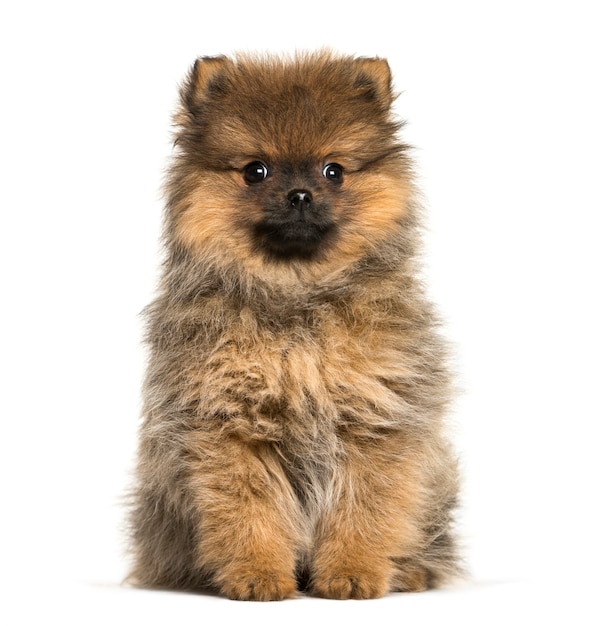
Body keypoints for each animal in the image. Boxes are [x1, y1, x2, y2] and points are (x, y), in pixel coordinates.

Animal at [131, 51, 462, 596]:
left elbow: (366, 508)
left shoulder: (373, 421)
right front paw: (258, 573)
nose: (301, 194)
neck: (299, 301)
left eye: (334, 171)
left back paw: (410, 572)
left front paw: (352, 572)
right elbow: (249, 511)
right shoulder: (231, 427)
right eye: (255, 171)